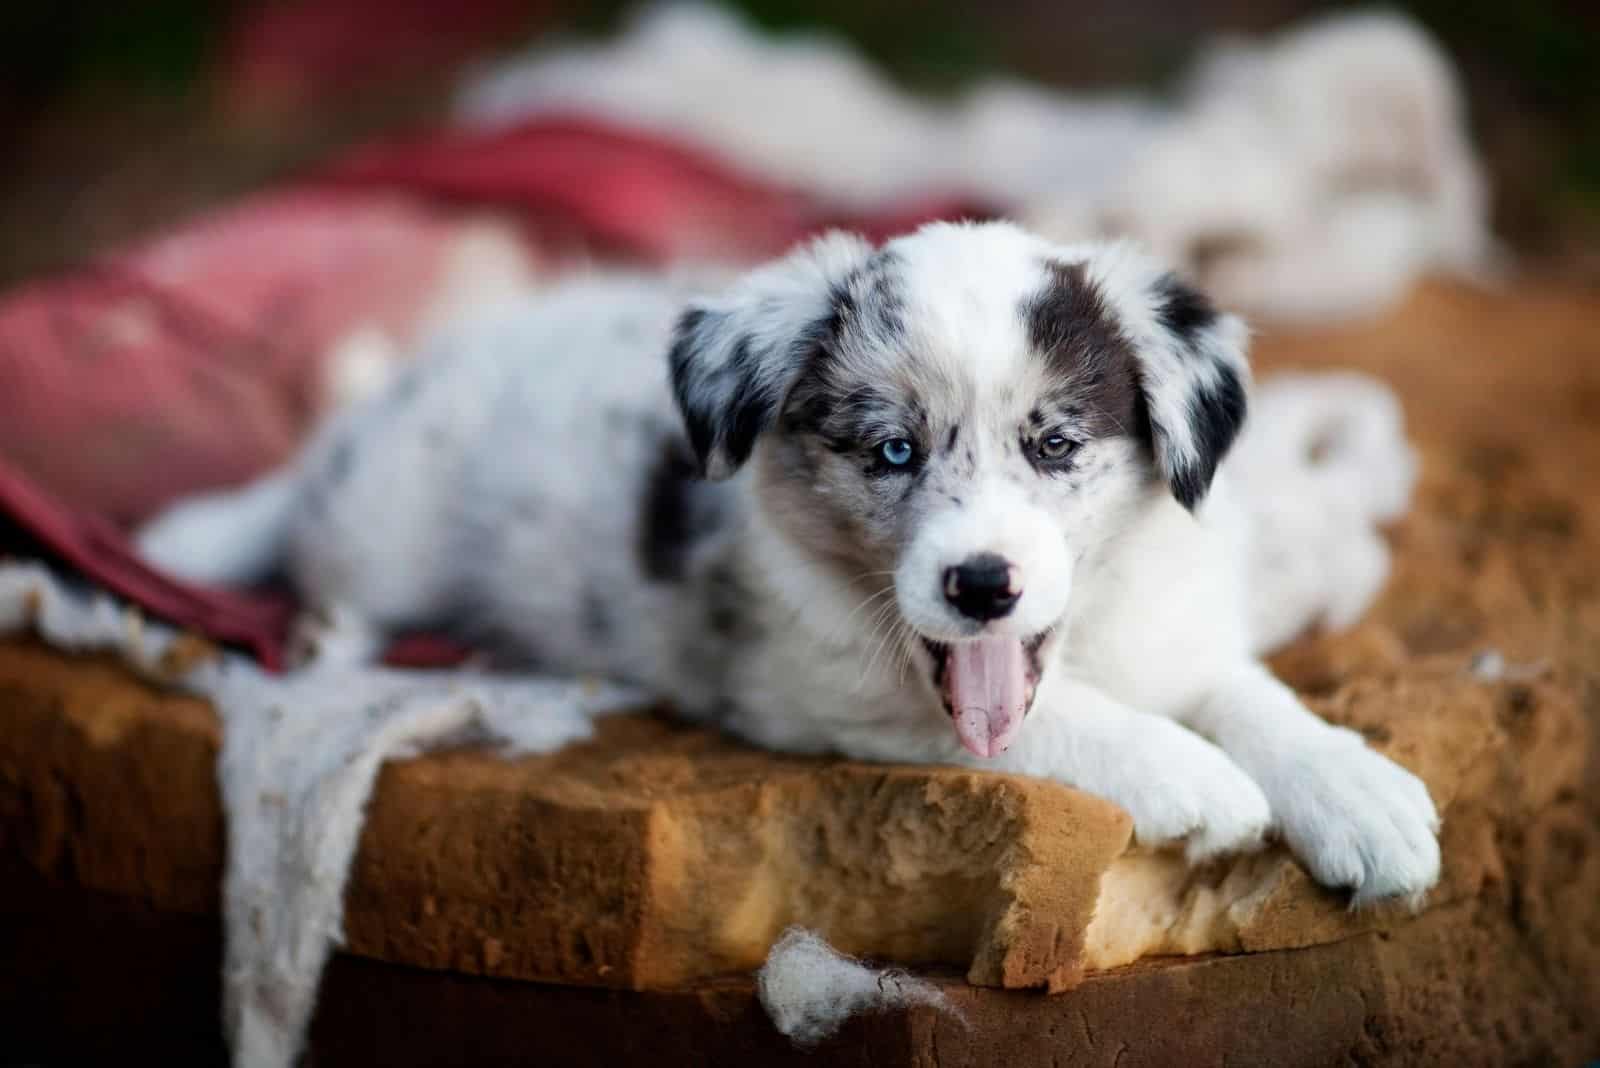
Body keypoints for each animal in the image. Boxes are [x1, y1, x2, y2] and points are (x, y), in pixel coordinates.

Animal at [140, 220, 1440, 908]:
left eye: (1057, 445)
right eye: (891, 449)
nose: (981, 587)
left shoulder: (1173, 631)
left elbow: (1251, 695)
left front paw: (1355, 792)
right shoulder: (827, 692)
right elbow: (1061, 724)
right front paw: (1190, 778)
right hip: (389, 516)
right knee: (319, 552)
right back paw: (317, 628)